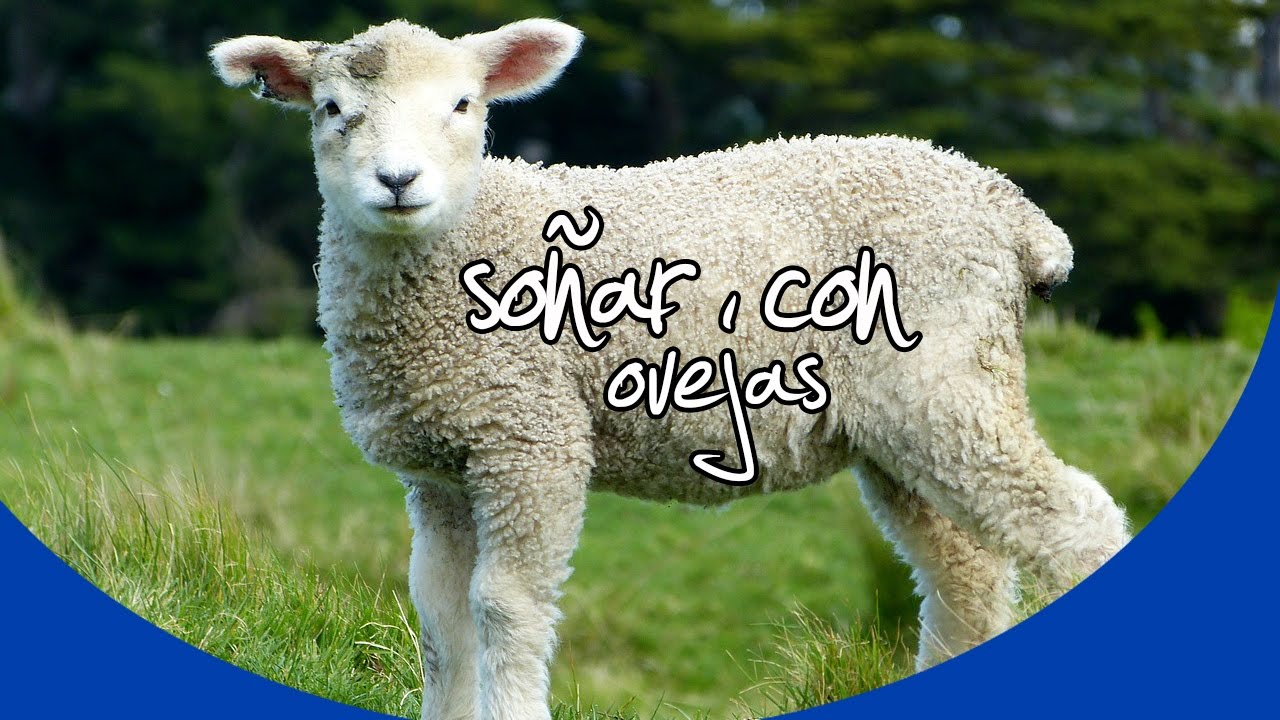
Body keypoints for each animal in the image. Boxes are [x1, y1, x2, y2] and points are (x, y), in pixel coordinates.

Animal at [210, 18, 1130, 720]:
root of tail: (1008, 207)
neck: (464, 248)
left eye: (463, 105)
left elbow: (504, 604)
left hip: (946, 381)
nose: (397, 181)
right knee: (964, 570)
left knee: (1072, 521)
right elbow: (439, 616)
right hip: (902, 422)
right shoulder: (442, 462)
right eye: (334, 109)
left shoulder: (529, 437)